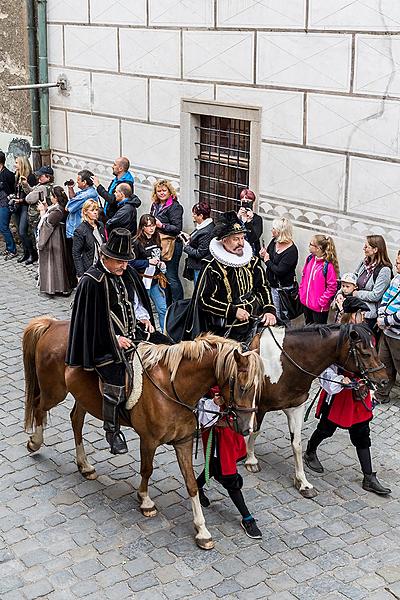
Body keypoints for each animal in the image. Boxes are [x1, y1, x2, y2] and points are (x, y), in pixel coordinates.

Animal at [23, 316, 264, 552]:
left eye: (257, 387)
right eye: (242, 386)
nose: (246, 427)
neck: (173, 386)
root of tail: (53, 324)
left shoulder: (183, 441)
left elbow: (191, 484)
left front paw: (202, 530)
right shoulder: (148, 439)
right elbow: (146, 470)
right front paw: (145, 501)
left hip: (82, 396)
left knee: (75, 420)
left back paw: (84, 465)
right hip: (54, 391)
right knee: (39, 406)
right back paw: (35, 442)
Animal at [247, 324, 388, 496]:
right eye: (366, 353)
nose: (384, 380)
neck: (283, 363)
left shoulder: (296, 408)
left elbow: (297, 444)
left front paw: (303, 482)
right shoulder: (259, 406)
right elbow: (255, 431)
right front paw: (251, 460)